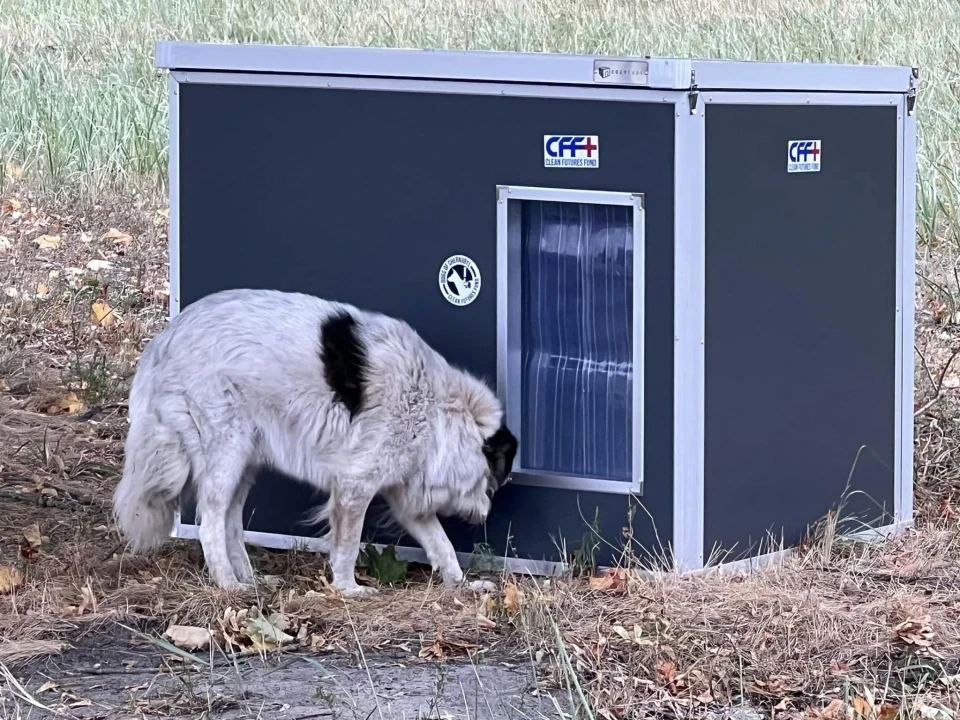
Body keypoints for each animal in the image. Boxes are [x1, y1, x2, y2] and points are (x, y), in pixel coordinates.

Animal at [112, 286, 516, 596]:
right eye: (494, 479)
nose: (486, 514)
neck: (435, 408)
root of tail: (163, 340)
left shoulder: (403, 496)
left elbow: (442, 546)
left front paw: (462, 585)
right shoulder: (355, 487)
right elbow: (348, 546)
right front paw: (349, 589)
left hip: (245, 462)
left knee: (230, 524)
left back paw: (252, 580)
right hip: (227, 453)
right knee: (211, 523)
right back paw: (229, 584)